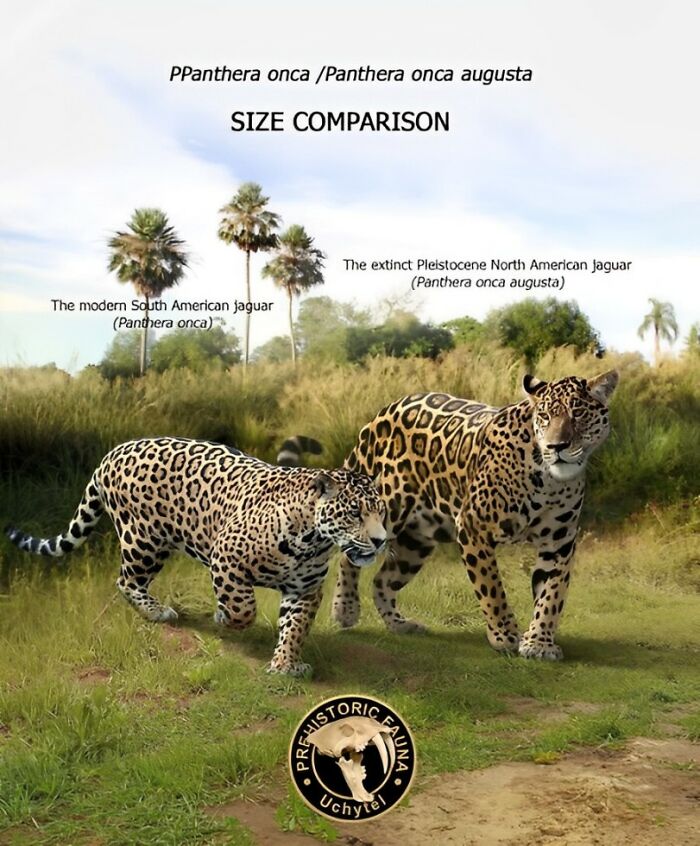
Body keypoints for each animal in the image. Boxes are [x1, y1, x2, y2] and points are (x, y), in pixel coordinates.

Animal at [6, 437, 386, 676]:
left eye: (381, 511)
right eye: (354, 513)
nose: (381, 541)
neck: (313, 538)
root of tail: (111, 454)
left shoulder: (305, 588)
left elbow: (294, 628)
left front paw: (285, 666)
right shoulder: (226, 557)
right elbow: (242, 608)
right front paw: (223, 618)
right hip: (145, 541)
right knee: (126, 580)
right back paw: (156, 611)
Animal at [331, 371, 618, 660]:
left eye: (578, 413)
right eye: (545, 416)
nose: (556, 446)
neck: (549, 480)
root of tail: (383, 412)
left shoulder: (559, 541)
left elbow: (552, 593)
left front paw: (539, 643)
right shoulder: (473, 526)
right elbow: (491, 586)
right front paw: (505, 635)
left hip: (417, 543)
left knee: (382, 581)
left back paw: (400, 625)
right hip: (387, 509)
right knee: (349, 553)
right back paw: (345, 610)